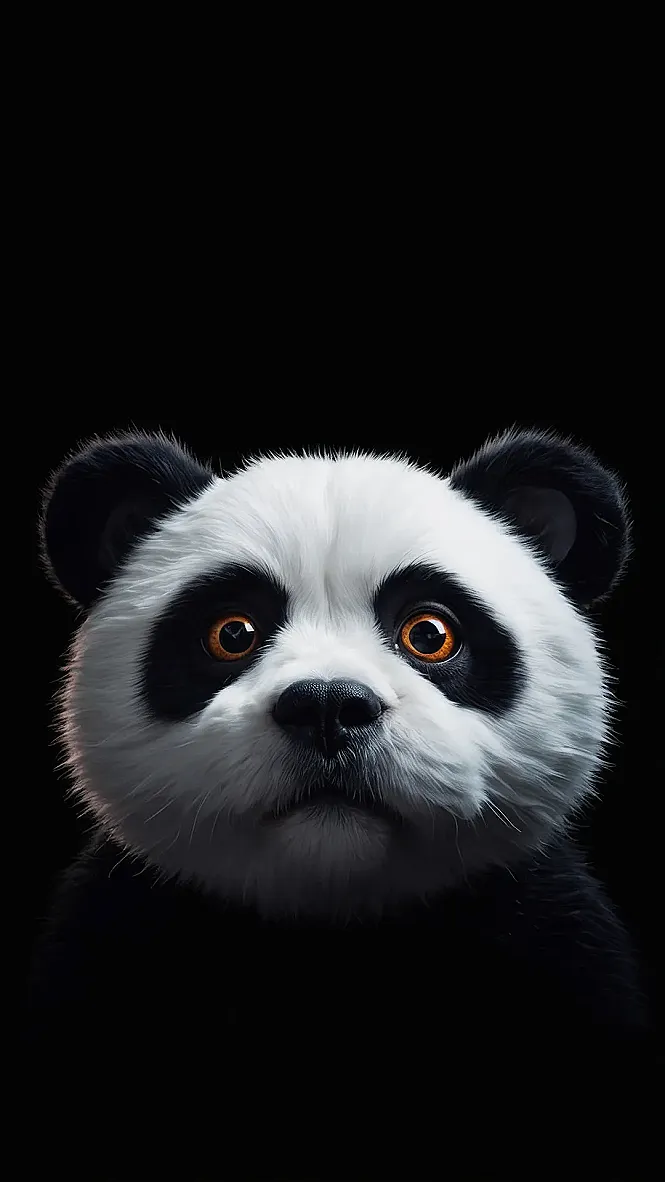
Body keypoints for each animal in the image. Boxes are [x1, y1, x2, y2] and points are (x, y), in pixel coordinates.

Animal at [26, 427, 653, 1181]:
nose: (327, 707)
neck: (332, 928)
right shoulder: (112, 954)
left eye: (429, 633)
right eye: (232, 633)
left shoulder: (554, 951)